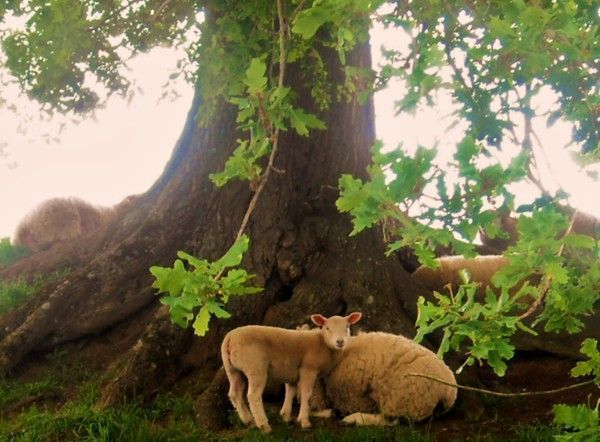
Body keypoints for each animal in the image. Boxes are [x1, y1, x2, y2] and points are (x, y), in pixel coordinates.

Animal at [220, 312, 360, 434]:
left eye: (347, 327)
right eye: (327, 328)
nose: (340, 342)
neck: (323, 343)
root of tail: (230, 338)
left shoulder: (291, 372)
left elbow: (290, 392)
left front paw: (285, 416)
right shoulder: (308, 369)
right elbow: (306, 394)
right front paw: (304, 421)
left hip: (232, 369)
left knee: (235, 393)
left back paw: (249, 421)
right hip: (255, 367)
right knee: (253, 395)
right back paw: (264, 425)